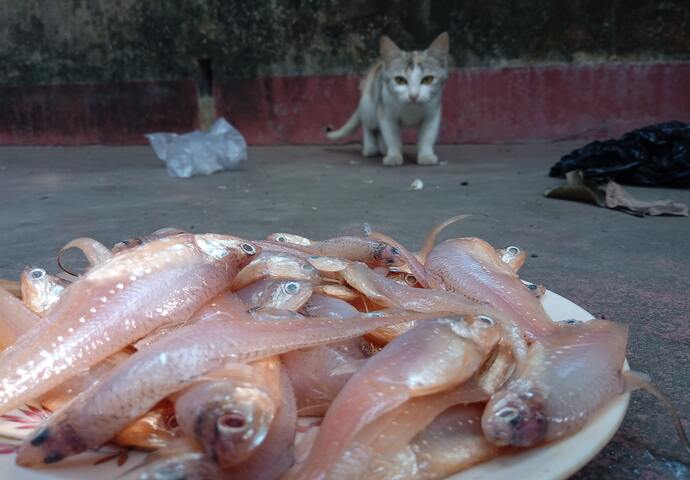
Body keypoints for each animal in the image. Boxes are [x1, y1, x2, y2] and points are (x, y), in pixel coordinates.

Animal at [326, 32, 448, 167]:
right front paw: (394, 156)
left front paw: (426, 156)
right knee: (368, 125)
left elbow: (427, 136)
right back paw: (370, 148)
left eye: (428, 79)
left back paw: (383, 148)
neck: (411, 109)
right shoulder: (387, 113)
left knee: (378, 130)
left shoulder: (432, 113)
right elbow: (392, 137)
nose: (413, 95)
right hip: (370, 104)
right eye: (400, 80)